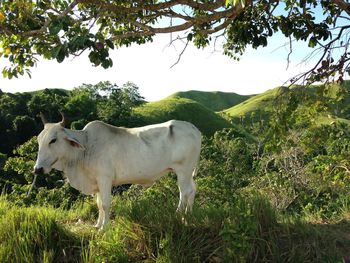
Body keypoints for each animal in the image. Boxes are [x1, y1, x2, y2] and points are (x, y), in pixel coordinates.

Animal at [34, 114, 202, 230]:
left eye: (53, 140)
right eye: (38, 140)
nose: (37, 169)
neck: (86, 148)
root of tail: (194, 129)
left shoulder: (105, 178)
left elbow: (105, 204)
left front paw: (104, 227)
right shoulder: (97, 182)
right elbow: (98, 204)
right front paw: (97, 224)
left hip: (183, 170)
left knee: (184, 192)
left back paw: (179, 215)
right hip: (188, 172)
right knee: (193, 189)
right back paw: (188, 217)